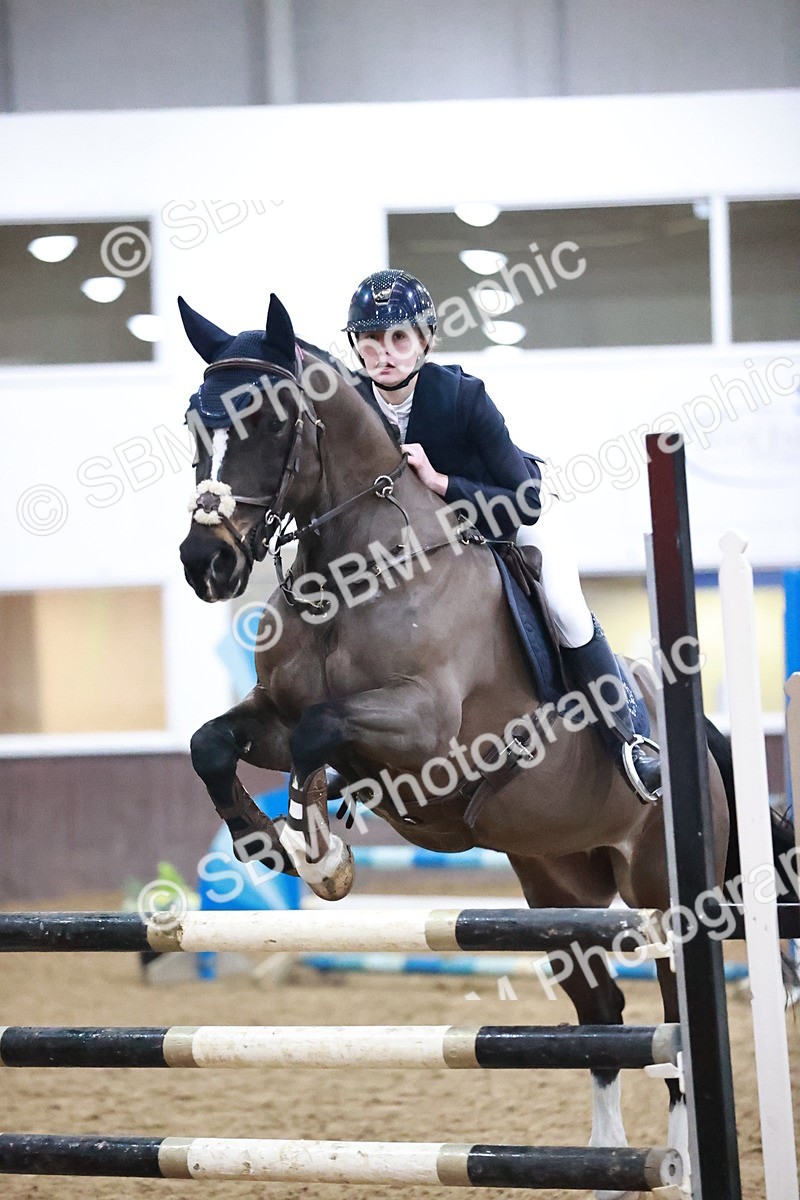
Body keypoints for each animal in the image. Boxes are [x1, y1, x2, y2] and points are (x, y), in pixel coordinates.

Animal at [177, 291, 733, 1199]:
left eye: (270, 422)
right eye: (195, 423)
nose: (206, 563)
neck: (357, 567)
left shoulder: (427, 728)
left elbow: (320, 732)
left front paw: (321, 853)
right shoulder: (273, 713)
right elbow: (214, 744)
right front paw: (266, 842)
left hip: (664, 887)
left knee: (675, 1015)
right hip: (556, 889)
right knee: (605, 1019)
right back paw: (608, 1167)